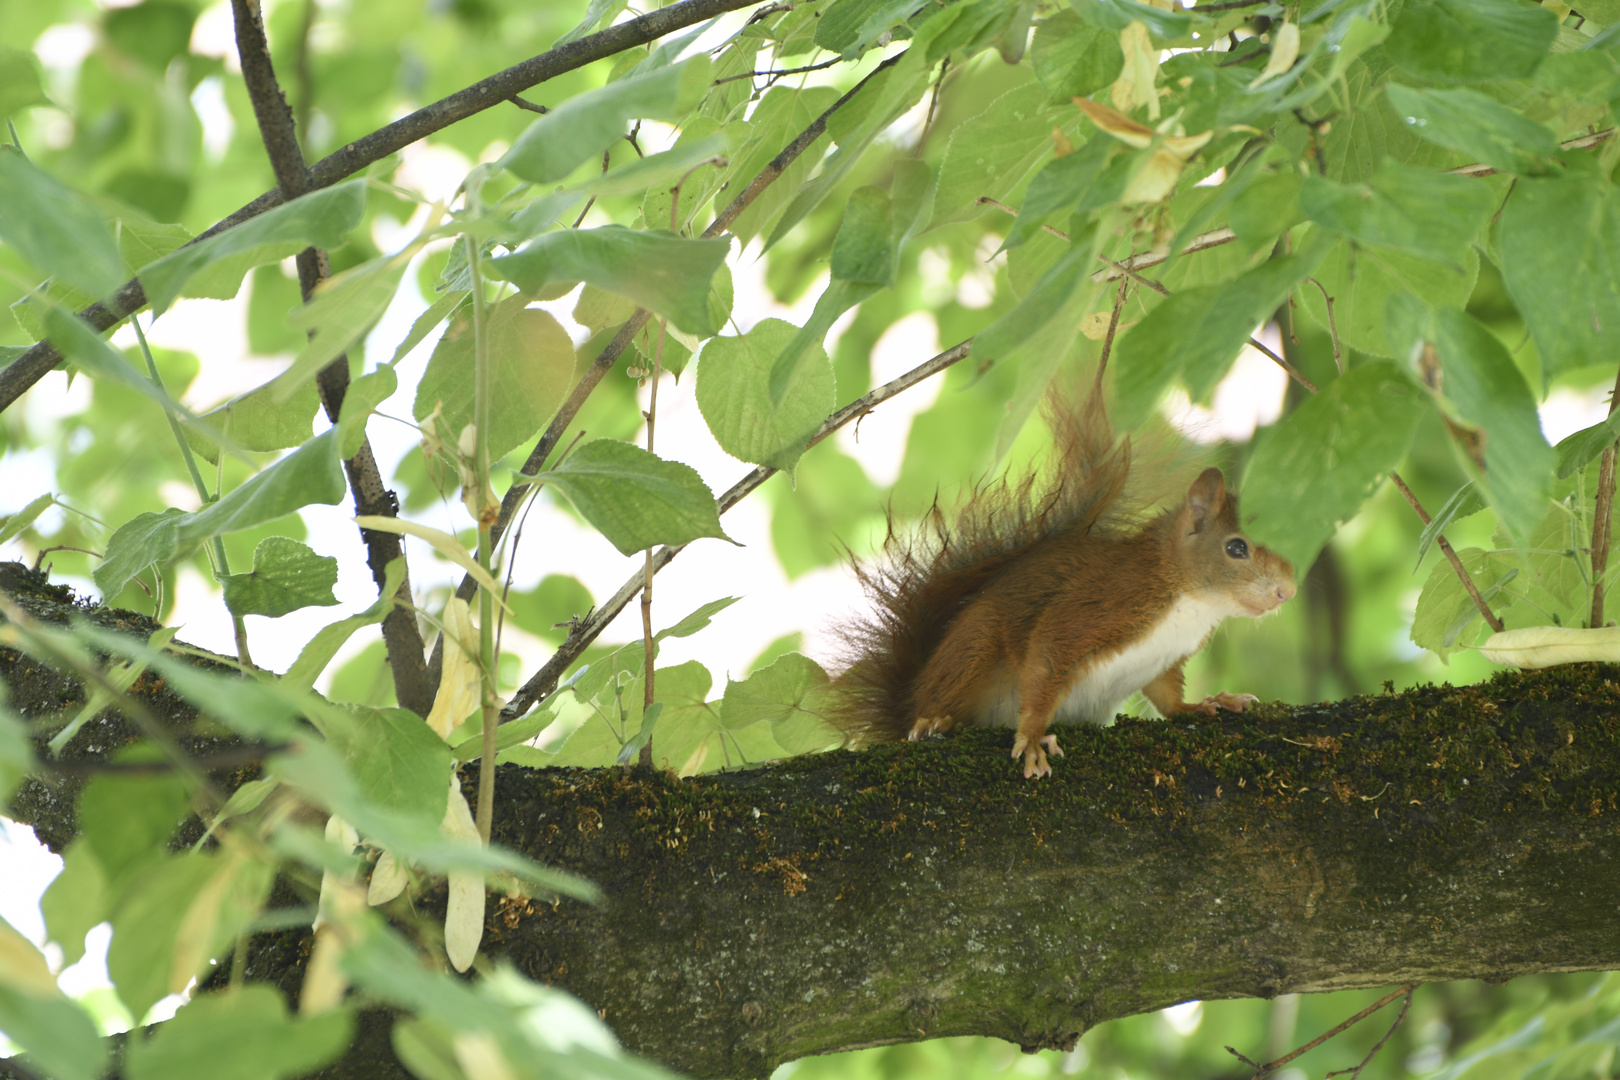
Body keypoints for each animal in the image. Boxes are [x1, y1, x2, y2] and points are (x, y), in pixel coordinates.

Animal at [829, 383, 1296, 780]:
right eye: (1236, 548)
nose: (1287, 591)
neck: (1189, 600)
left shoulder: (1165, 657)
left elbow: (1167, 696)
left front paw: (1205, 704)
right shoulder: (1101, 604)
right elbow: (1047, 659)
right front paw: (1033, 739)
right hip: (973, 647)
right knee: (939, 696)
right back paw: (933, 720)